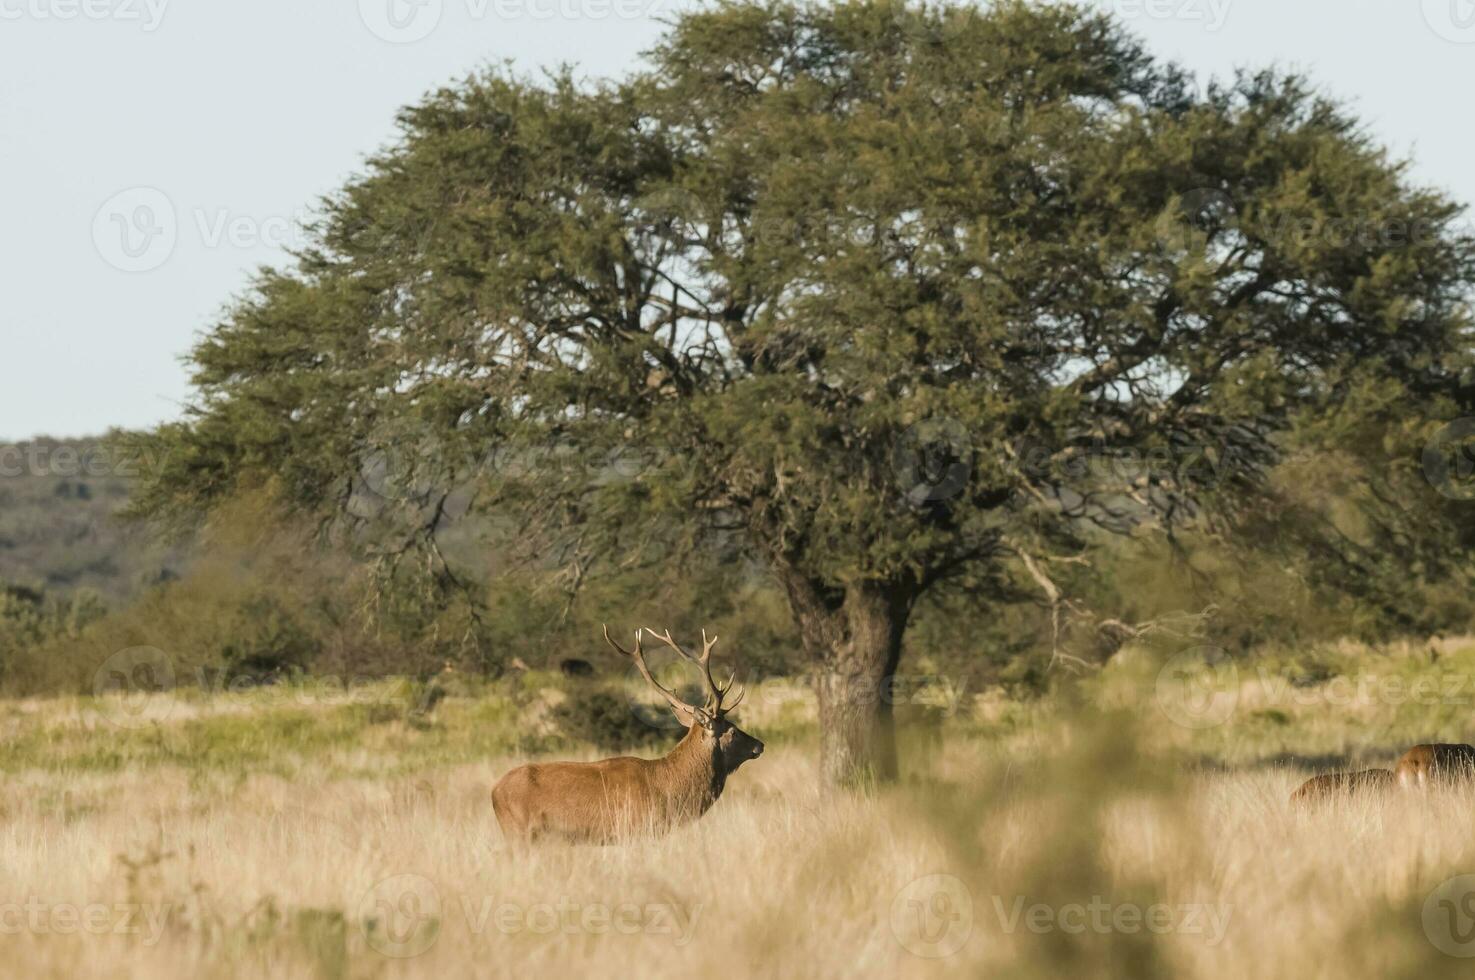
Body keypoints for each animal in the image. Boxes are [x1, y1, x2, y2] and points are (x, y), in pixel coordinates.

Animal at [495, 628, 772, 844]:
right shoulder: (637, 831)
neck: (671, 789)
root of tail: (494, 792)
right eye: (732, 730)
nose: (759, 745)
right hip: (519, 833)